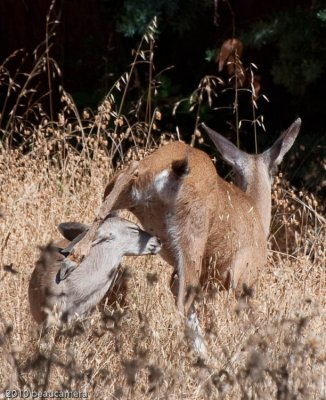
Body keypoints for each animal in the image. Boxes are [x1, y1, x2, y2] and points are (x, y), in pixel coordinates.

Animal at [63, 119, 300, 354]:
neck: (256, 213)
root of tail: (171, 168)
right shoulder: (244, 276)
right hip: (192, 235)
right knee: (183, 305)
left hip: (128, 187)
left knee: (108, 205)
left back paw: (71, 261)